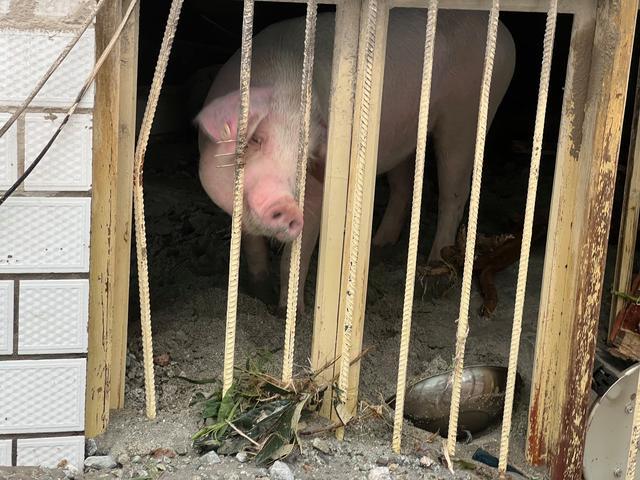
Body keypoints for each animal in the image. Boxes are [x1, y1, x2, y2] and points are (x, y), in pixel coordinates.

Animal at [195, 9, 516, 314]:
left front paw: (287, 313)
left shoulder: (316, 197)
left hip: (465, 117)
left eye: (307, 159)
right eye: (255, 140)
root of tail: (506, 34)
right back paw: (379, 245)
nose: (287, 205)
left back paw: (434, 269)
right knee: (403, 186)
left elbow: (295, 257)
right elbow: (251, 247)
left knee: (454, 193)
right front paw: (259, 294)